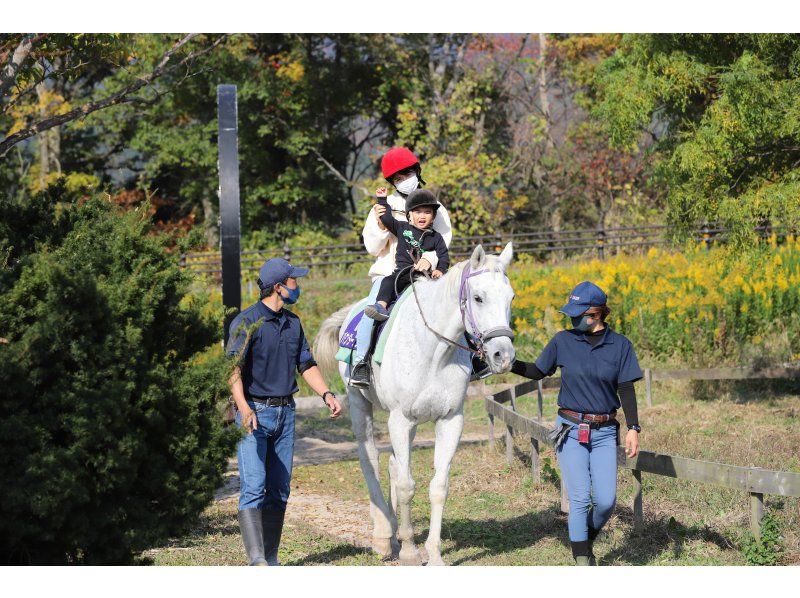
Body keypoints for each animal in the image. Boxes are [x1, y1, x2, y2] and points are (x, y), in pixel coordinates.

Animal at [316, 244, 516, 568]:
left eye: (510, 298)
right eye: (478, 297)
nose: (504, 356)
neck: (434, 351)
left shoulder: (450, 421)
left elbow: (438, 486)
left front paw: (433, 554)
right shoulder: (400, 420)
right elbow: (407, 486)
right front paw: (410, 551)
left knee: (393, 465)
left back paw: (393, 531)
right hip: (360, 405)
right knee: (371, 460)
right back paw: (383, 536)